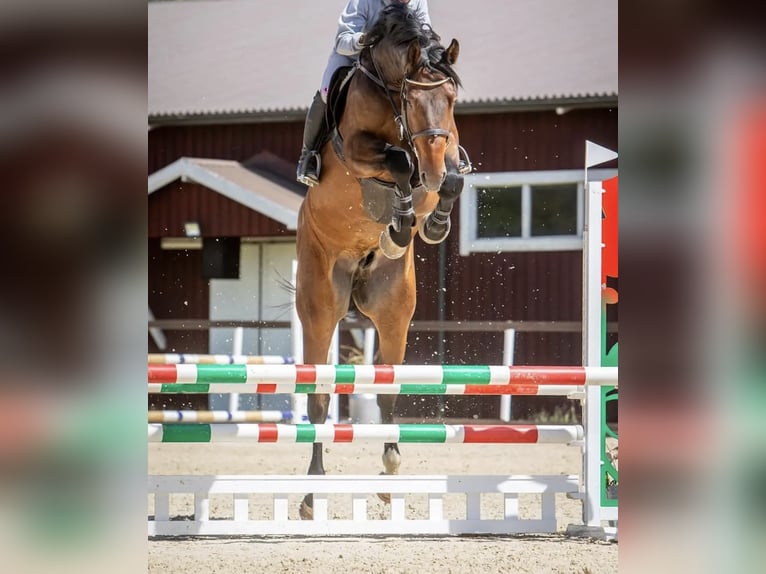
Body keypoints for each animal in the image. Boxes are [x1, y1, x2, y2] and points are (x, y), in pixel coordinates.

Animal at [295, 4, 470, 519]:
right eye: (412, 99)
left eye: (451, 97)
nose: (430, 169)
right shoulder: (358, 151)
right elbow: (398, 162)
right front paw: (401, 219)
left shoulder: (448, 149)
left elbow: (453, 175)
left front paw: (428, 225)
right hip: (320, 309)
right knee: (318, 402)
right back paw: (312, 494)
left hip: (394, 312)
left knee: (390, 390)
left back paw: (392, 470)